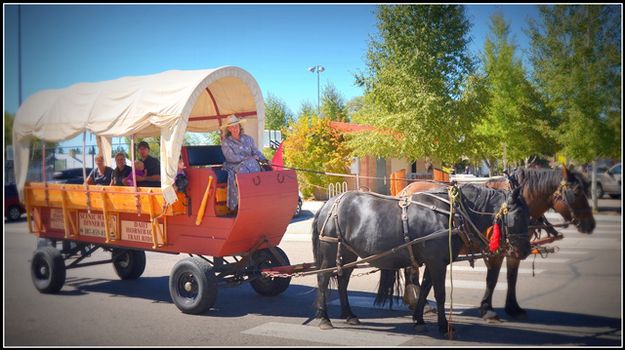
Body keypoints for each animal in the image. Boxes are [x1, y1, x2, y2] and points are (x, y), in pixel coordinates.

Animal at [312, 183, 532, 336]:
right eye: (519, 215)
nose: (526, 251)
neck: (453, 213)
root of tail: (329, 203)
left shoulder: (434, 262)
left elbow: (425, 288)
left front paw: (418, 320)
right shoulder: (437, 263)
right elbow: (440, 294)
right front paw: (444, 326)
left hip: (348, 253)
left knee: (342, 281)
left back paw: (349, 315)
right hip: (331, 251)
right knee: (323, 280)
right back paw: (324, 318)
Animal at [400, 165, 596, 322]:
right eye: (577, 192)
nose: (591, 225)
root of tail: (407, 189)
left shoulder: (515, 248)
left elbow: (512, 277)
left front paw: (513, 308)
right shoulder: (497, 250)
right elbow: (492, 279)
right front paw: (487, 309)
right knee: (412, 271)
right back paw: (421, 303)